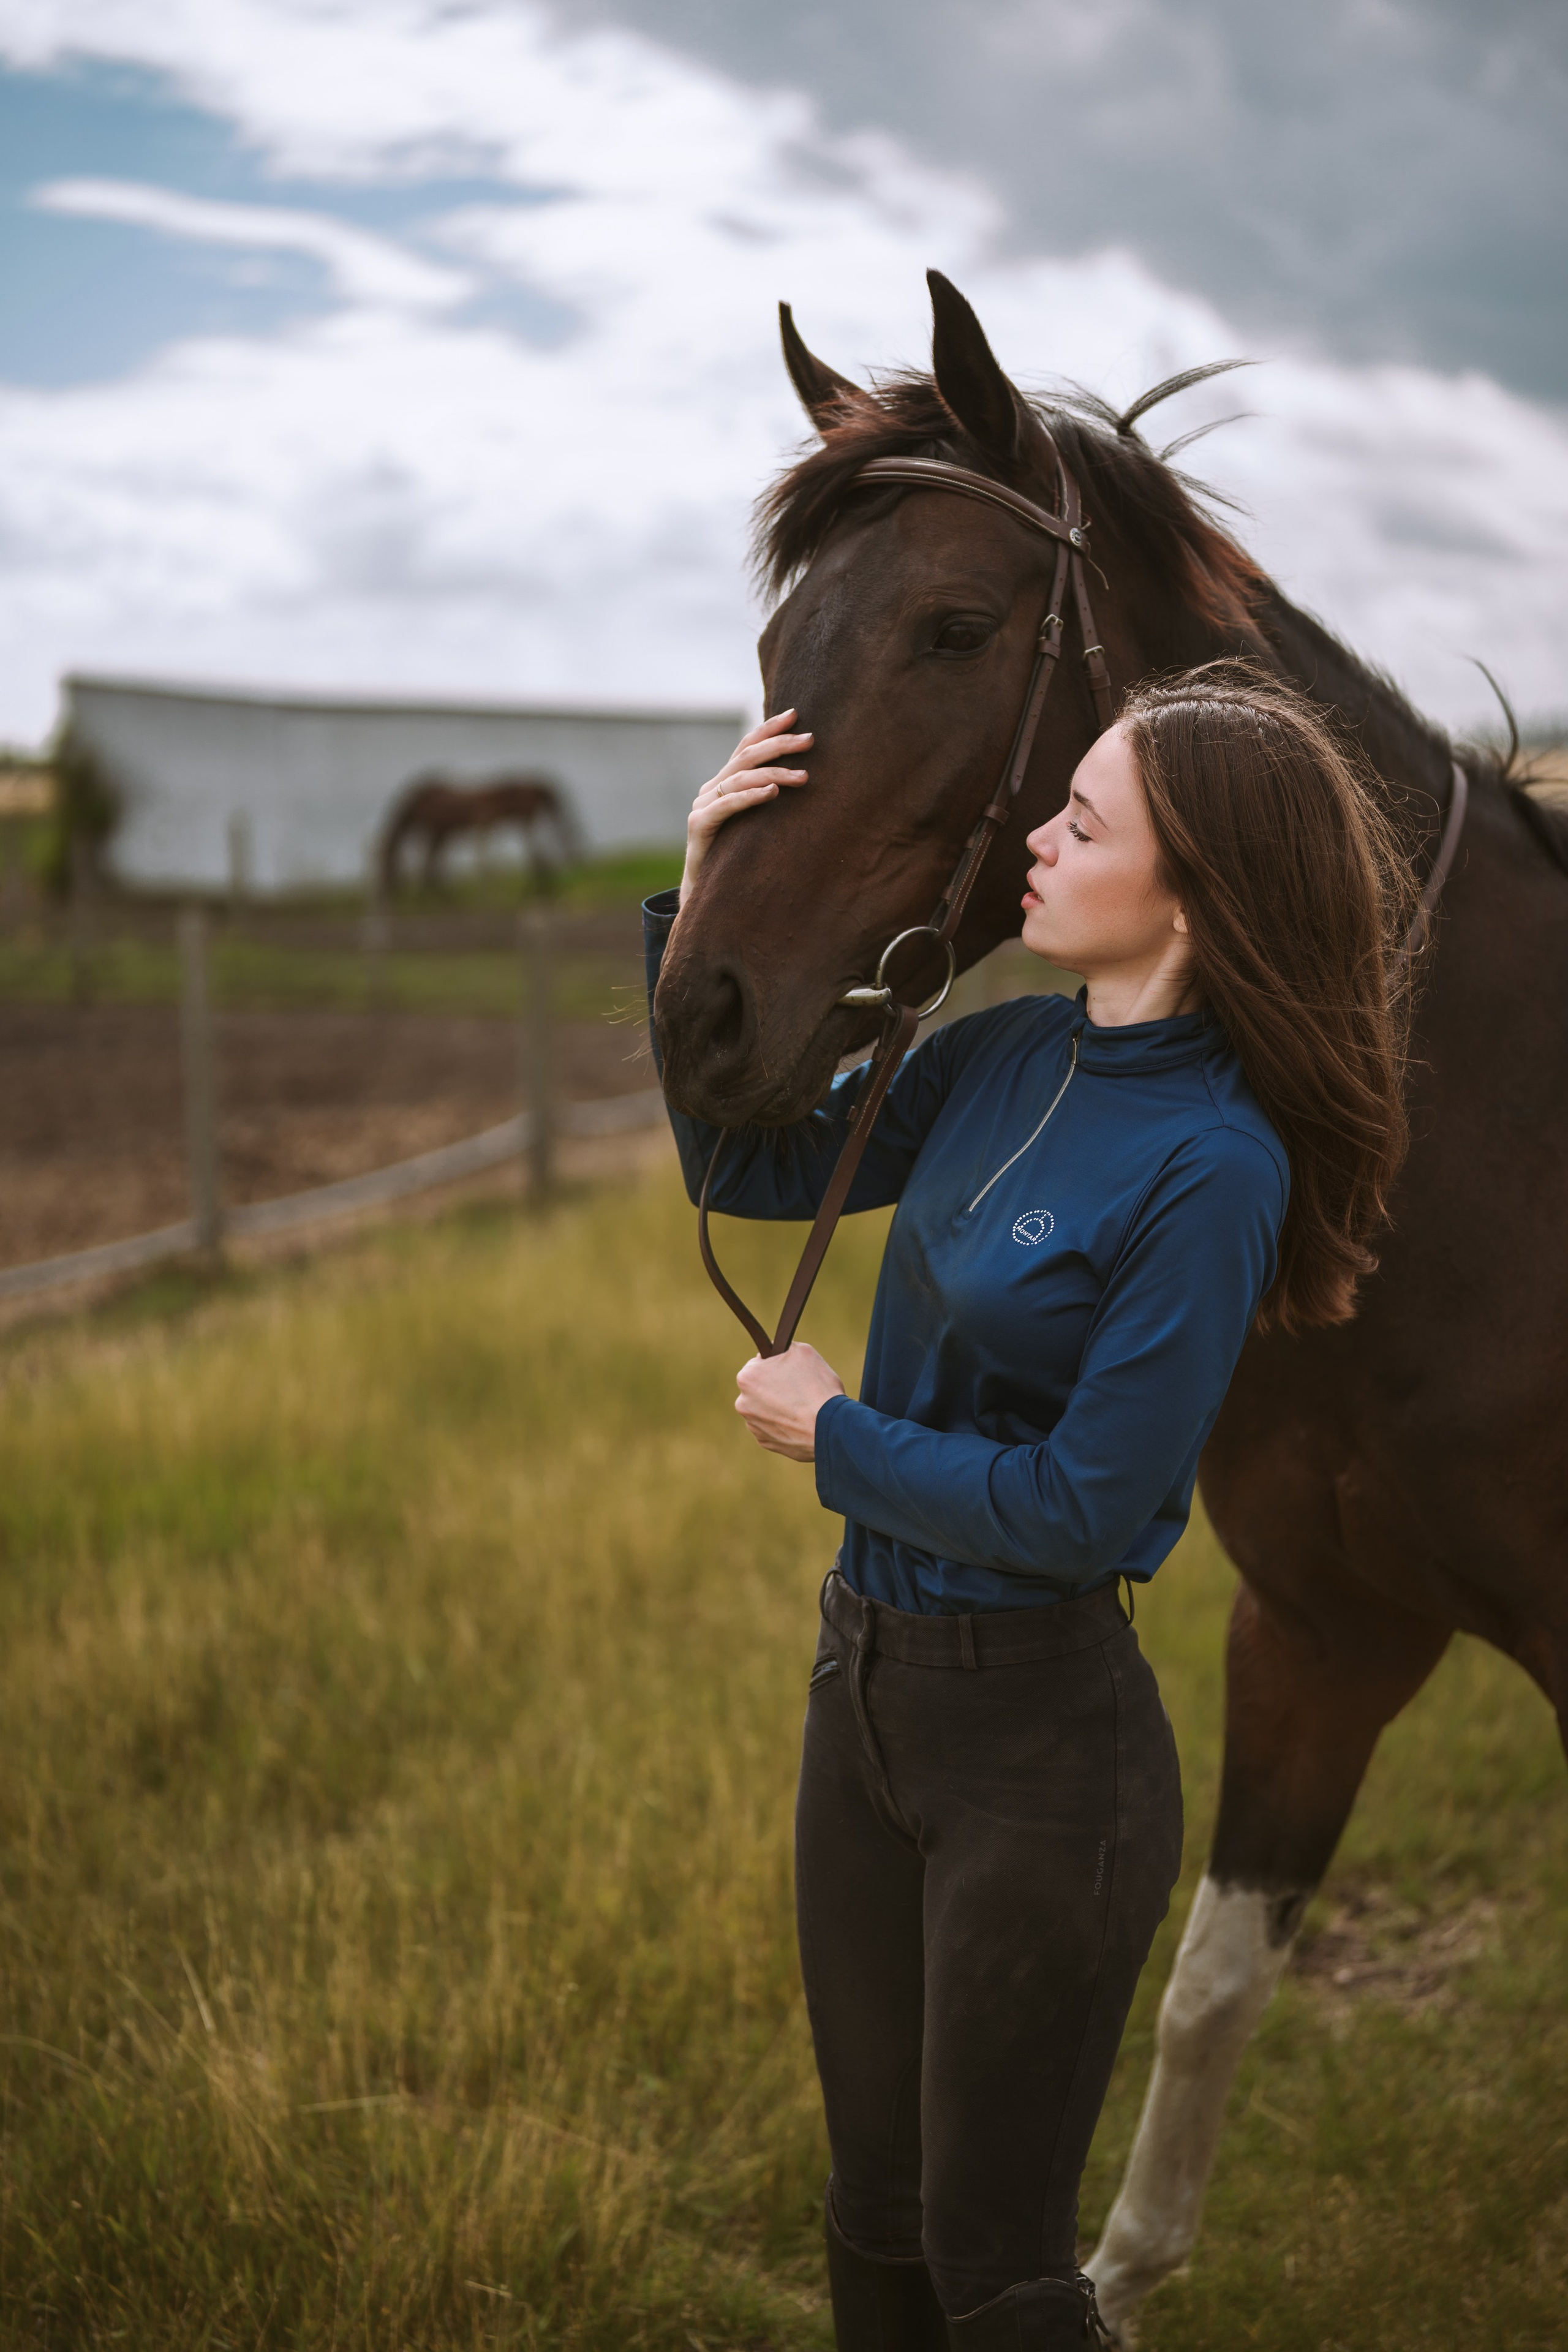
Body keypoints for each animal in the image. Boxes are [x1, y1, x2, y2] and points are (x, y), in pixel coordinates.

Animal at [378, 772, 579, 896]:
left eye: (387, 867)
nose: (387, 893)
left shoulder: (439, 830)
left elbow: (431, 865)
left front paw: (434, 894)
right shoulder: (442, 832)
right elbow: (433, 865)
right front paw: (436, 893)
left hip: (525, 821)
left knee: (536, 853)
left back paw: (538, 884)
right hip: (526, 821)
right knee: (540, 852)